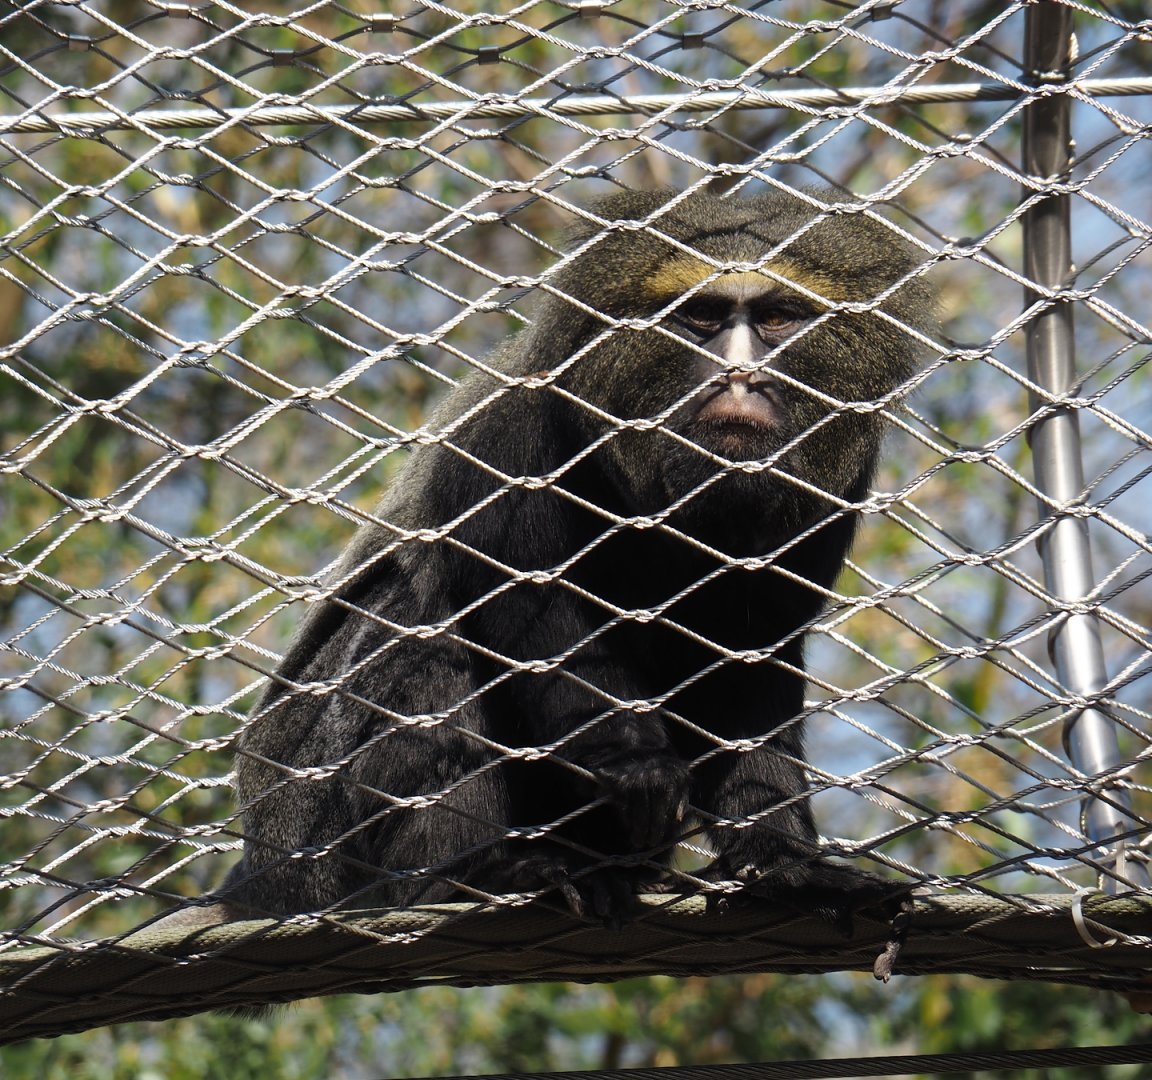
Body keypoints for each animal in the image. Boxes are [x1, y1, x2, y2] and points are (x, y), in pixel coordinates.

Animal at [216, 187, 935, 926]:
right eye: (703, 315)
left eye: (776, 318)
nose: (740, 375)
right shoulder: (515, 430)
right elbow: (532, 607)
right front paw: (633, 765)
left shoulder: (835, 489)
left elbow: (753, 664)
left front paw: (782, 862)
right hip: (311, 831)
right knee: (422, 633)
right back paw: (465, 877)